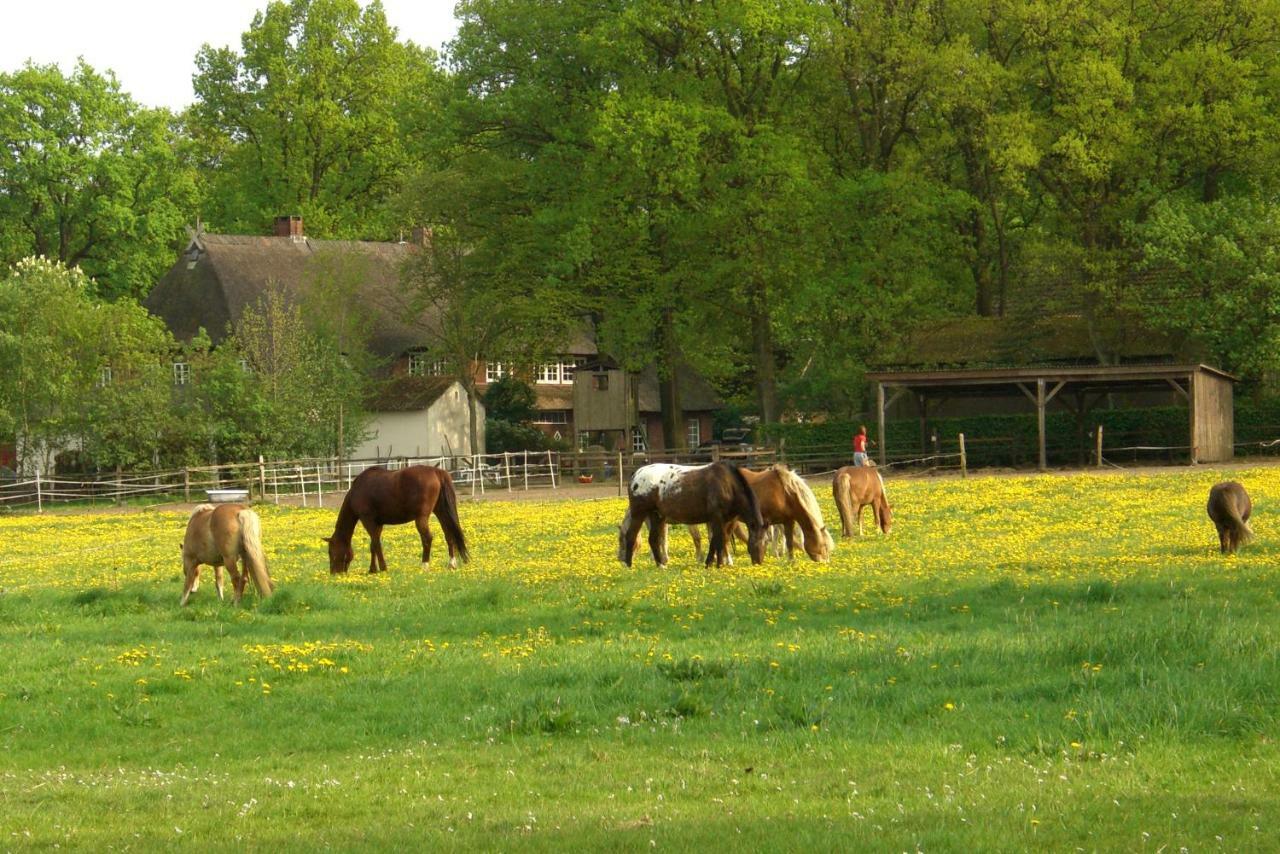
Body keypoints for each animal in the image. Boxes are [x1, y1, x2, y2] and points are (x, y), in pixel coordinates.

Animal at [325, 463, 471, 578]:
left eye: (330, 552)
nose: (334, 573)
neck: (358, 489)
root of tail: (436, 472)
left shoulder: (368, 520)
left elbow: (376, 544)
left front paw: (383, 568)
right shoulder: (378, 524)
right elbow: (373, 545)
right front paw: (372, 569)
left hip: (421, 518)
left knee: (427, 538)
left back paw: (424, 566)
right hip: (441, 511)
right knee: (449, 535)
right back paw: (451, 564)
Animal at [616, 460, 762, 568]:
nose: (759, 562)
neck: (726, 484)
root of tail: (636, 475)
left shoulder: (720, 521)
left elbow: (716, 540)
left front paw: (711, 563)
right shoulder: (717, 519)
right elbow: (717, 540)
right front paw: (717, 564)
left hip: (656, 516)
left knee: (653, 539)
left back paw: (660, 565)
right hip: (639, 513)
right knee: (632, 535)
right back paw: (630, 565)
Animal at [686, 463, 834, 563]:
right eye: (823, 546)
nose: (825, 563)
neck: (784, 492)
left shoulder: (787, 521)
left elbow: (789, 542)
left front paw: (790, 562)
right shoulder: (766, 521)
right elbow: (768, 539)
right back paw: (728, 561)